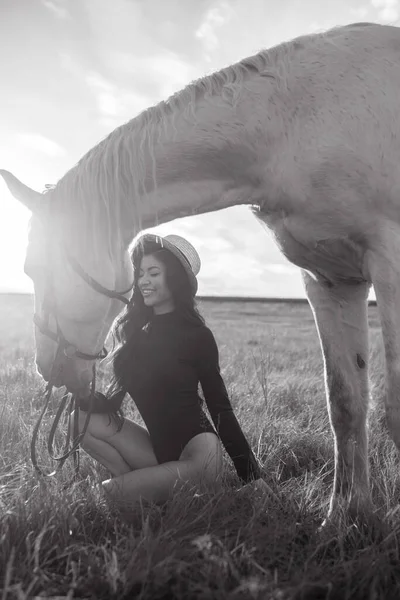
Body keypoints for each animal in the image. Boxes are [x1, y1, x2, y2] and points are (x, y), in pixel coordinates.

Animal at [2, 22, 400, 520]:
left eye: (32, 267)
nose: (47, 369)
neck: (296, 125)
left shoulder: (389, 262)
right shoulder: (330, 280)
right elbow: (345, 403)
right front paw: (345, 518)